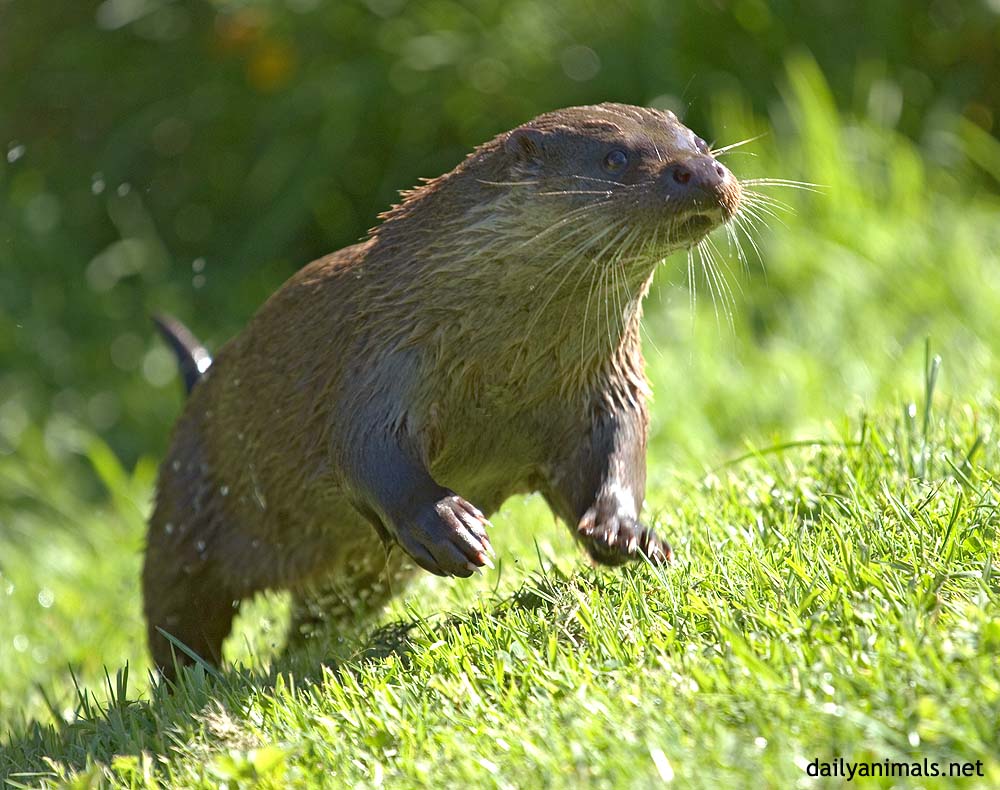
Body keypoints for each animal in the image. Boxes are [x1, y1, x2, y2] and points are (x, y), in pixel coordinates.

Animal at [143, 102, 744, 676]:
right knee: (176, 614)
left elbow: (619, 446)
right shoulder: (382, 357)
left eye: (699, 141)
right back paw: (194, 681)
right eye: (615, 158)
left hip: (360, 577)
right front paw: (446, 524)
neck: (504, 368)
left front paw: (626, 532)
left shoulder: (607, 383)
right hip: (187, 511)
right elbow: (365, 448)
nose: (702, 170)